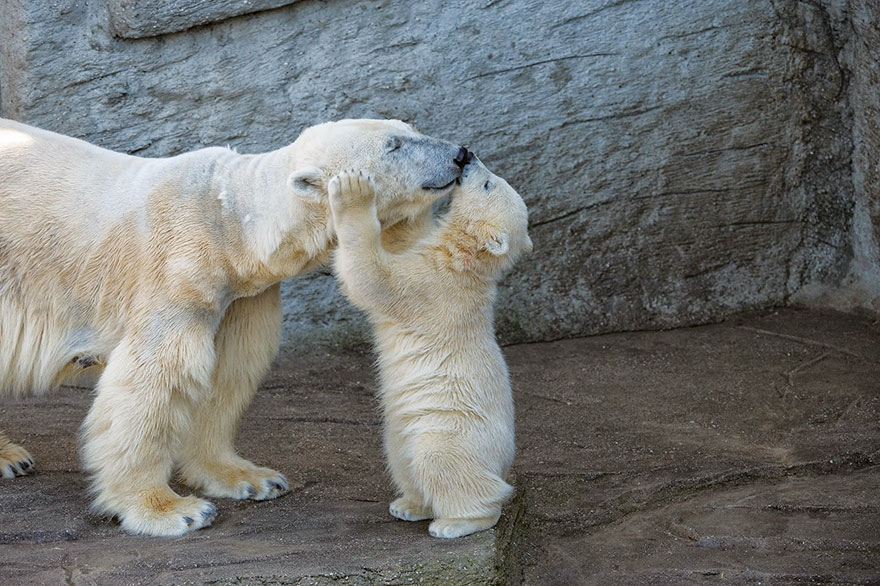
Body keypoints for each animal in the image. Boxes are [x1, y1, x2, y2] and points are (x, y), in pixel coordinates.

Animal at [0, 117, 469, 536]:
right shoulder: (178, 270)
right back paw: (11, 456)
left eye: (411, 128)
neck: (230, 223)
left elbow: (228, 369)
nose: (460, 153)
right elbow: (154, 377)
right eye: (394, 146)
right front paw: (171, 509)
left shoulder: (242, 292)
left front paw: (251, 478)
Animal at [328, 159, 532, 538]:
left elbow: (372, 278)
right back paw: (409, 505)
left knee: (440, 461)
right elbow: (401, 240)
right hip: (402, 428)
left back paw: (456, 522)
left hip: (454, 431)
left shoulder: (431, 287)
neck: (465, 259)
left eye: (487, 184)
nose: (469, 157)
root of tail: (501, 464)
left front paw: (353, 190)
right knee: (400, 456)